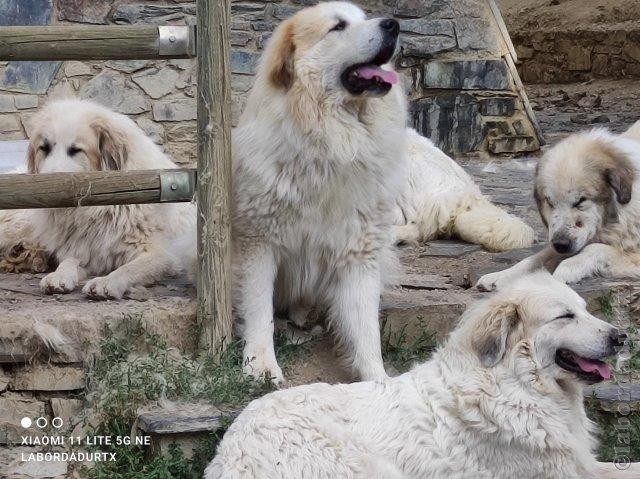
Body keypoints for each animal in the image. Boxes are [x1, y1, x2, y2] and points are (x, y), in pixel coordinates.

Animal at [206, 272, 636, 478]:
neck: (516, 383)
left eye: (586, 309)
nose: (621, 337)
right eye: (566, 316)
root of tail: (229, 451)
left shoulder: (580, 465)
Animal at [232, 0, 408, 382]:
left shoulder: (359, 252)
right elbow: (259, 310)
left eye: (364, 18)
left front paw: (378, 380)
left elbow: (366, 327)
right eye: (338, 26)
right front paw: (260, 364)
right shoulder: (258, 244)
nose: (393, 24)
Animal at [478, 122, 640, 290]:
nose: (561, 244)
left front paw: (567, 268)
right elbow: (533, 259)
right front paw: (501, 275)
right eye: (550, 202)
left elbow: (595, 248)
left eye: (580, 201)